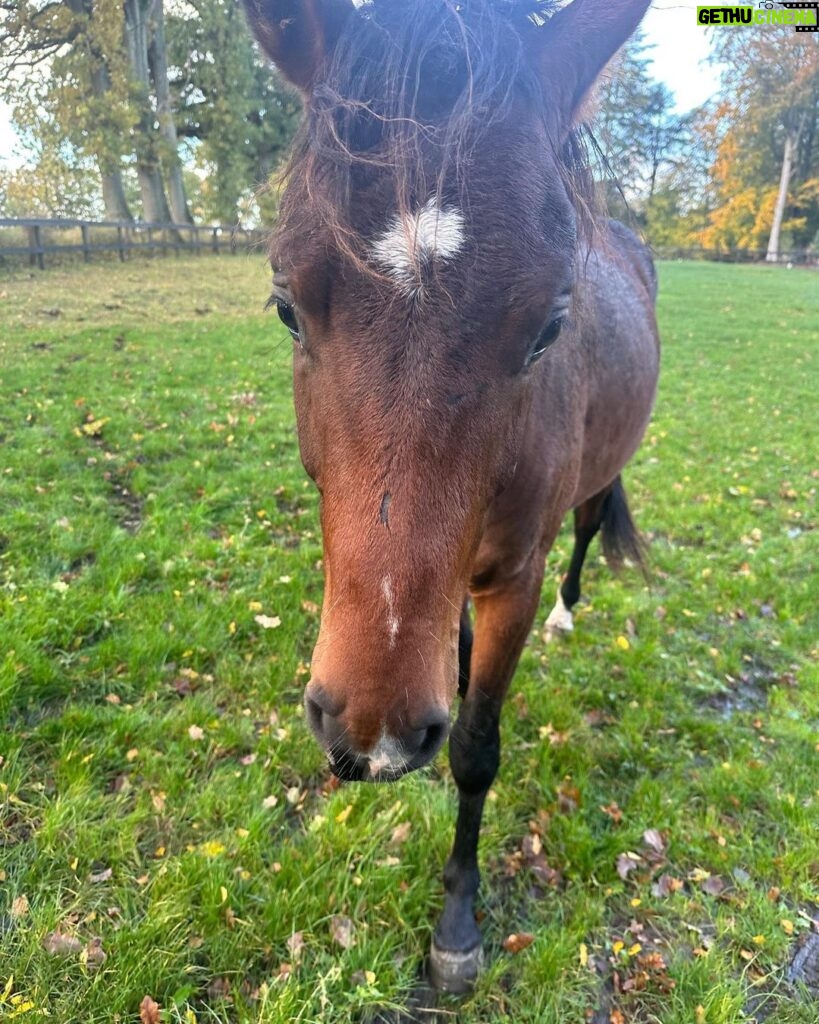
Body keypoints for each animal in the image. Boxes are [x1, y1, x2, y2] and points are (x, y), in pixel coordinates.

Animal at [243, 0, 659, 991]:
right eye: (285, 305)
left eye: (549, 325)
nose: (371, 731)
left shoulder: (511, 578)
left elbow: (475, 749)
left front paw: (457, 924)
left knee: (588, 529)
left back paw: (570, 612)